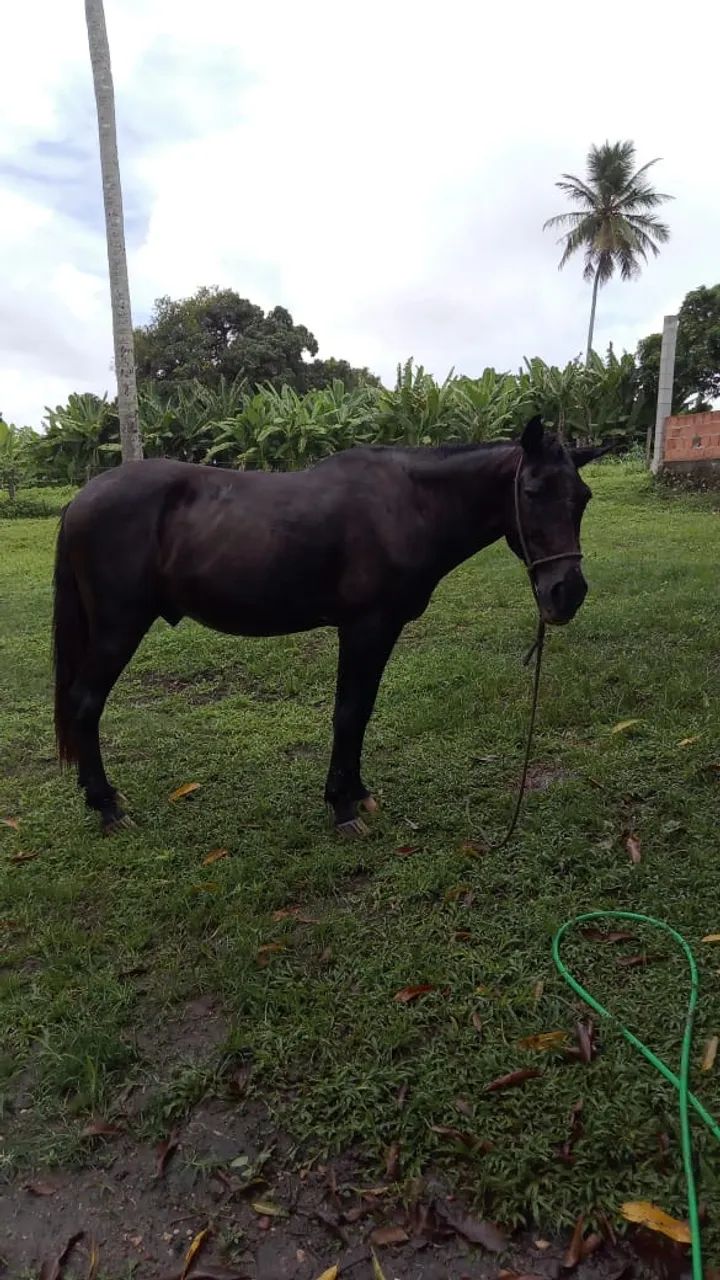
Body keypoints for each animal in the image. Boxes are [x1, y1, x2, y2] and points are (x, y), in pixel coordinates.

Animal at [52, 415, 604, 836]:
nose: (567, 593)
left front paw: (357, 793)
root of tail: (82, 498)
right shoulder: (365, 628)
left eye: (583, 497)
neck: (407, 504)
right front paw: (342, 807)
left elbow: (361, 711)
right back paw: (107, 807)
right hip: (118, 629)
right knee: (85, 704)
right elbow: (349, 713)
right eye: (531, 491)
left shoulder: (381, 631)